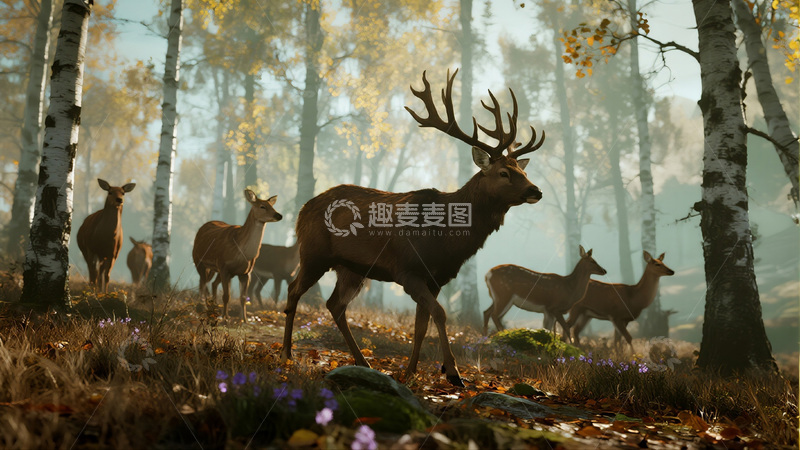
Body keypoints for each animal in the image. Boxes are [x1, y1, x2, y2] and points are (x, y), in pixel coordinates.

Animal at [192, 190, 282, 321]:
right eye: (262, 206)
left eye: (272, 206)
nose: (279, 215)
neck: (242, 252)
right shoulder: (224, 266)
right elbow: (226, 295)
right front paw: (225, 318)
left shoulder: (246, 272)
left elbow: (243, 297)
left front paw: (244, 319)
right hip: (198, 260)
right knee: (202, 282)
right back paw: (201, 307)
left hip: (215, 269)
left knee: (211, 283)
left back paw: (214, 306)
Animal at [280, 70, 545, 387]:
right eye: (504, 172)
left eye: (522, 170)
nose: (536, 190)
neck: (446, 240)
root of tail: (302, 210)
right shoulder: (407, 270)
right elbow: (440, 315)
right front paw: (453, 373)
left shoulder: (436, 279)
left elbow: (422, 325)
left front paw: (410, 372)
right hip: (314, 253)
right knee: (294, 291)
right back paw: (286, 355)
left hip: (351, 268)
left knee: (335, 305)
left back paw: (363, 362)